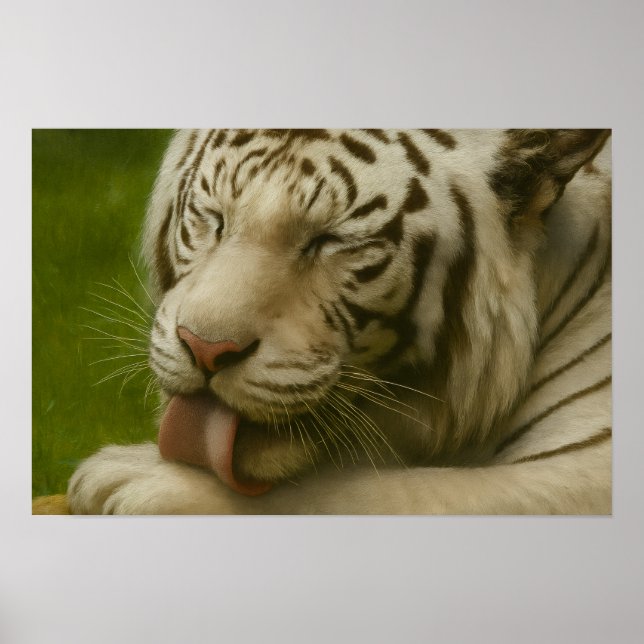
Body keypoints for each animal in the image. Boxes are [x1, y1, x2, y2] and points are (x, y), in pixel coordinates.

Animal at [67, 128, 612, 514]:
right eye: (215, 219)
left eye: (330, 241)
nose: (204, 348)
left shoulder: (586, 471)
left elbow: (364, 491)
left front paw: (124, 478)